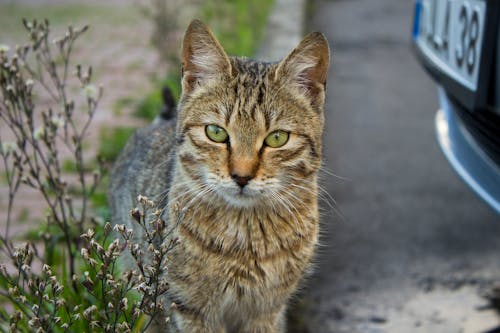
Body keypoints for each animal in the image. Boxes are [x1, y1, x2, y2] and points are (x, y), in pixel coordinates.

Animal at [108, 19, 328, 330]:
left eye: (277, 138)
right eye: (216, 133)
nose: (241, 176)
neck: (248, 238)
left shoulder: (267, 310)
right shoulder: (188, 310)